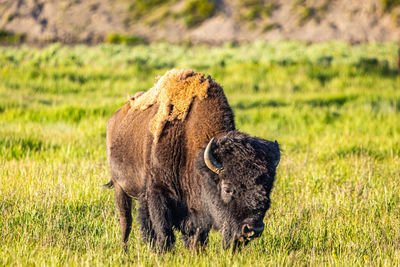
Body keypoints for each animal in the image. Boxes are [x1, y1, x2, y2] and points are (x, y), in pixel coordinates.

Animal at [106, 68, 282, 251]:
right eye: (227, 188)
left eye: (268, 188)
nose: (252, 229)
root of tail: (114, 118)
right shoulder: (157, 192)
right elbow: (164, 233)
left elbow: (196, 237)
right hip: (120, 187)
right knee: (126, 221)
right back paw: (124, 250)